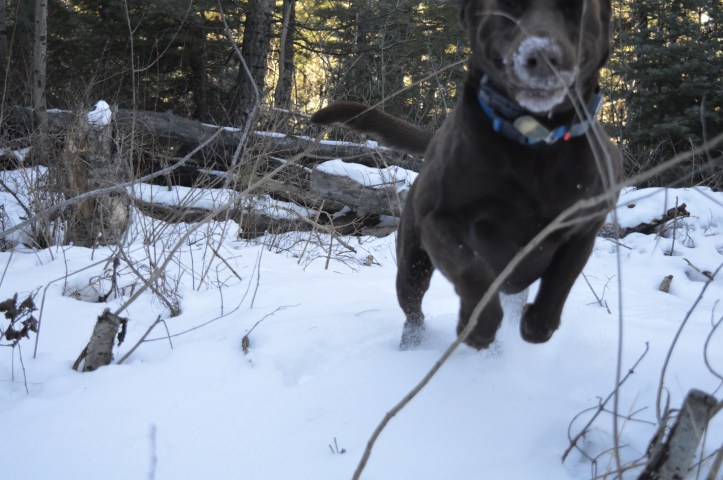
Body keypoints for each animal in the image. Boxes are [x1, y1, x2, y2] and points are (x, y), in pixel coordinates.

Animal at [312, 0, 621, 349]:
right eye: (508, 6)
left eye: (576, 9)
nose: (542, 56)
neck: (534, 143)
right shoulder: (439, 221)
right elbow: (470, 270)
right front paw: (479, 326)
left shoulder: (585, 226)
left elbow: (559, 283)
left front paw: (535, 323)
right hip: (412, 263)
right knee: (413, 310)